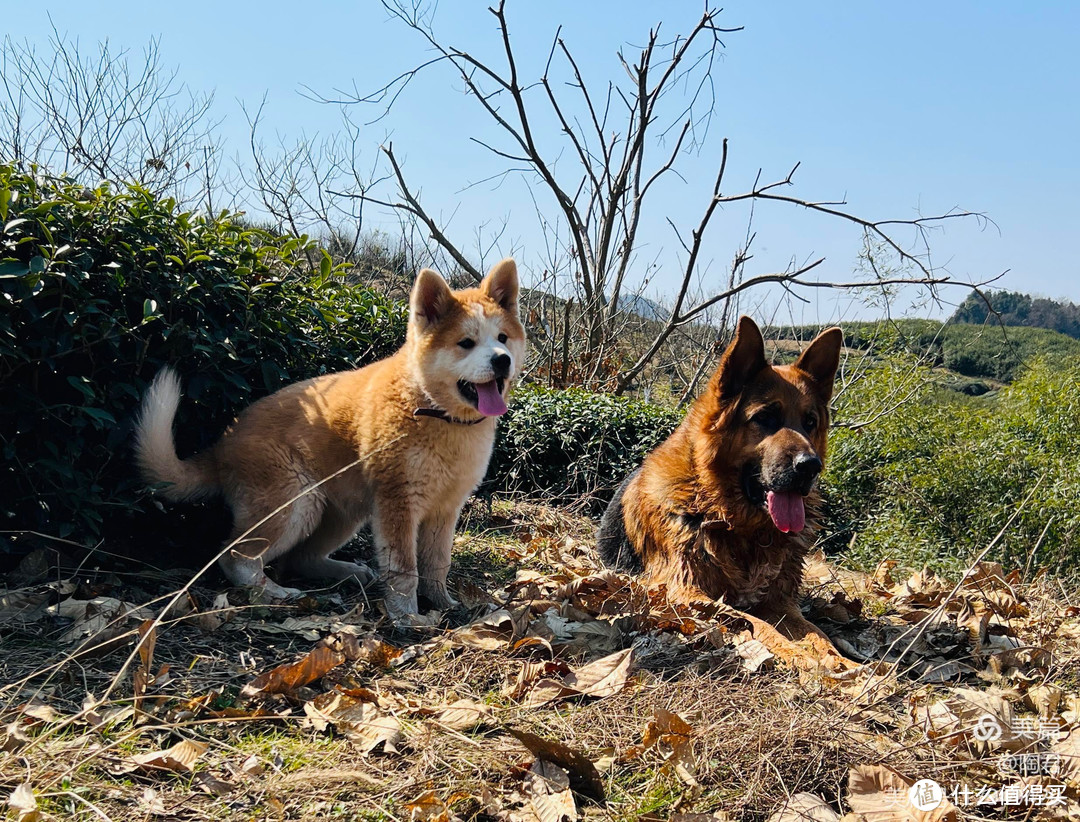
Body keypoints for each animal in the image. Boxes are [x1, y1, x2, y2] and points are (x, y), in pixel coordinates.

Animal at [137, 257, 524, 613]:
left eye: (502, 339)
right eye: (466, 343)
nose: (502, 360)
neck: (434, 410)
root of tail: (221, 445)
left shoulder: (445, 509)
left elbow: (437, 565)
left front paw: (445, 604)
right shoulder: (398, 502)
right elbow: (404, 570)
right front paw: (407, 616)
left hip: (342, 514)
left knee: (299, 558)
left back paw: (349, 573)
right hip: (298, 504)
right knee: (236, 557)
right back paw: (274, 592)